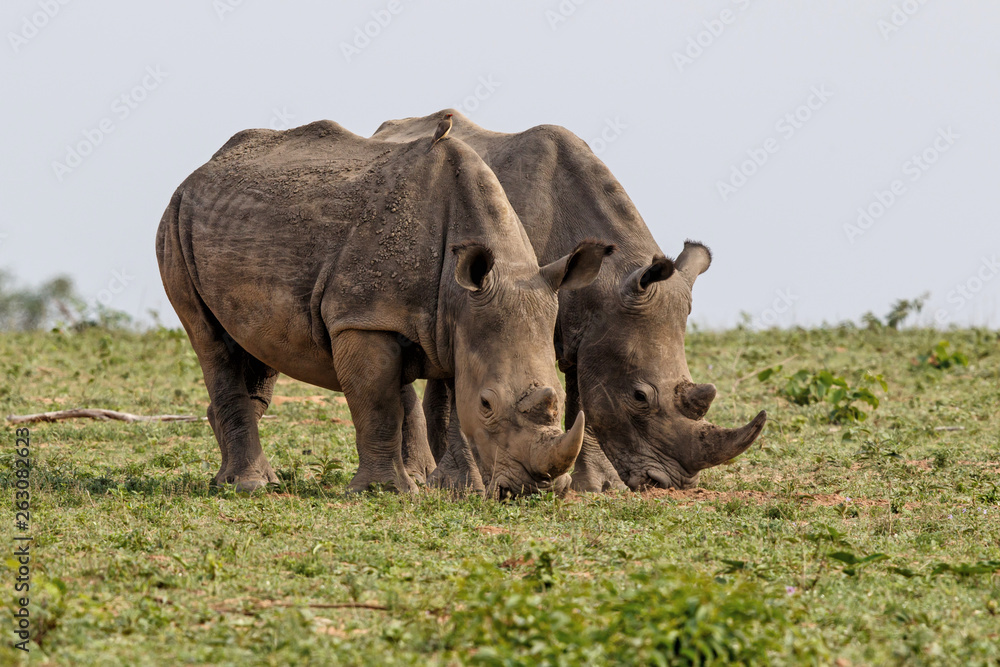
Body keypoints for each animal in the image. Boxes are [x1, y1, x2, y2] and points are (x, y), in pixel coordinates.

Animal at [155, 120, 613, 495]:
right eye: (487, 405)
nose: (534, 490)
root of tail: (200, 170)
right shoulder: (361, 319)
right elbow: (378, 405)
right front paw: (385, 492)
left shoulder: (455, 322)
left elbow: (446, 407)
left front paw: (449, 489)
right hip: (173, 221)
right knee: (209, 341)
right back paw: (248, 486)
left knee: (258, 342)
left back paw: (242, 479)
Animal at [373, 112, 766, 491]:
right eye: (639, 397)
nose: (672, 484)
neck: (610, 280)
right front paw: (463, 486)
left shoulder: (589, 327)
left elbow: (582, 400)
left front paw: (597, 486)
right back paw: (425, 477)